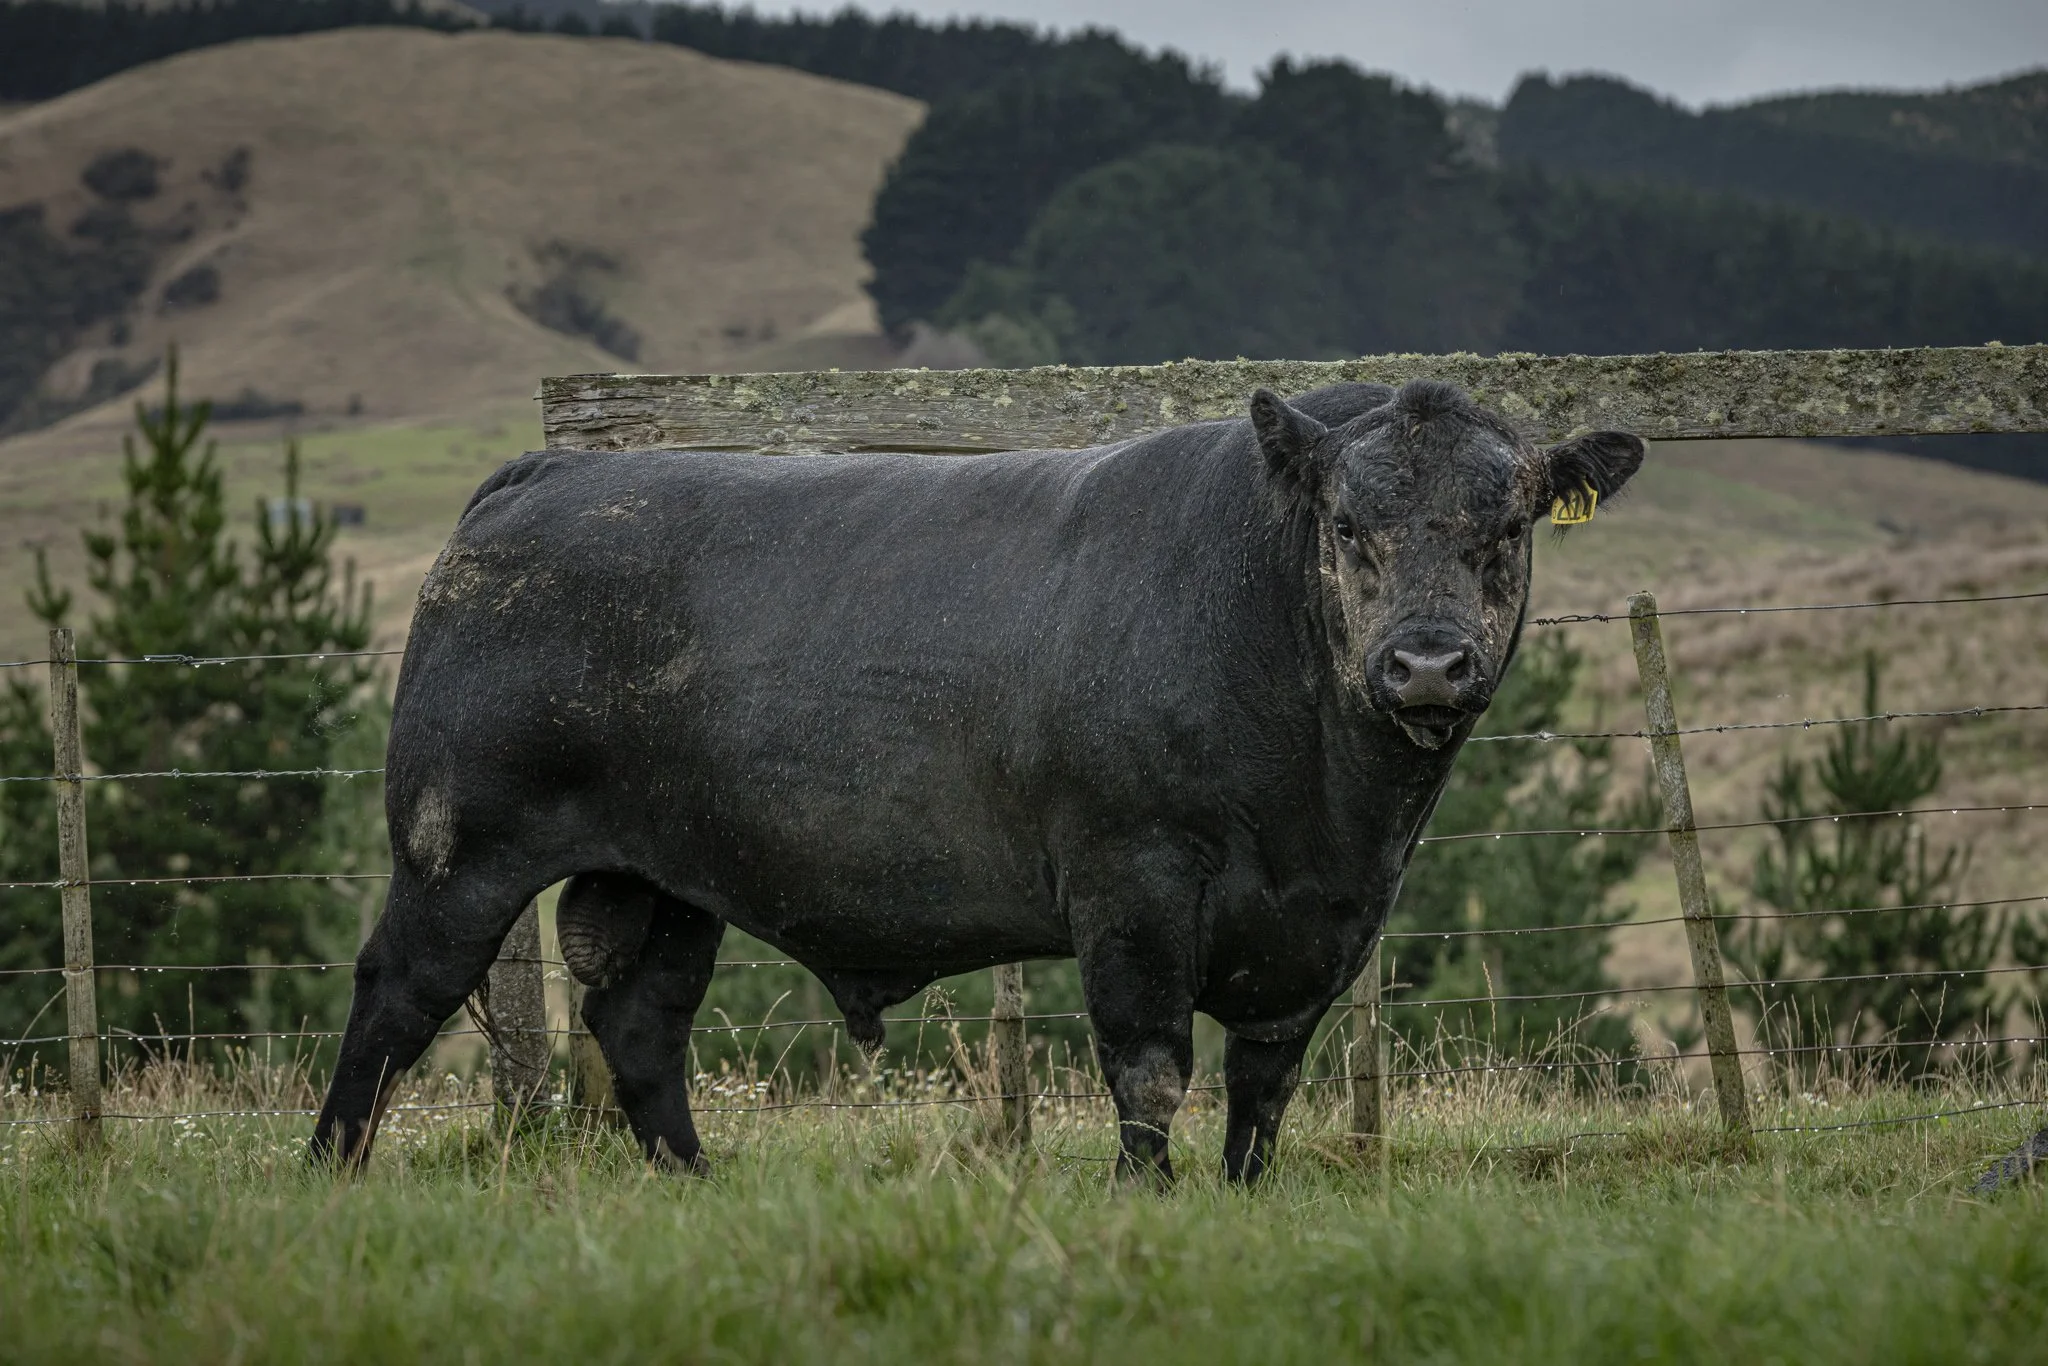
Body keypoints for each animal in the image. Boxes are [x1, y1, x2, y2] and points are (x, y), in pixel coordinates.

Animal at [310, 378, 1643, 1183]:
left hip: (670, 876)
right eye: (1349, 529)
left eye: (1507, 529)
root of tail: (542, 479)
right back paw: (333, 1169)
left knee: (641, 1020)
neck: (1323, 808)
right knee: (397, 995)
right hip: (457, 846)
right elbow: (1149, 1062)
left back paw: (692, 1183)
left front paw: (1241, 1196)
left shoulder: (1323, 923)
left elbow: (1264, 1084)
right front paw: (1144, 1198)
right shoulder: (1130, 882)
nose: (1425, 662)